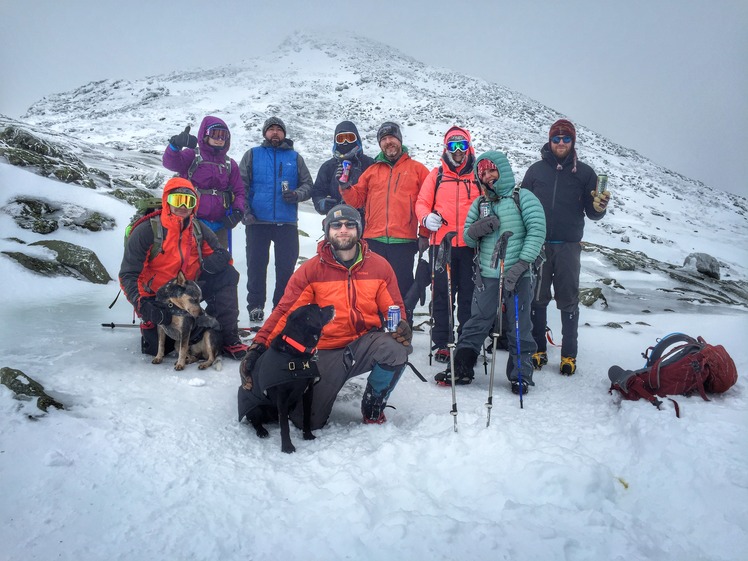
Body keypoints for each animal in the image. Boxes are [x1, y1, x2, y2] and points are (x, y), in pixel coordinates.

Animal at [238, 304, 334, 452]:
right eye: (317, 309)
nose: (333, 307)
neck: (296, 352)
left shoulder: (308, 392)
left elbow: (306, 417)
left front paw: (308, 435)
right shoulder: (282, 397)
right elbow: (284, 427)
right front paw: (287, 447)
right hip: (256, 408)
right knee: (255, 422)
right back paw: (262, 431)